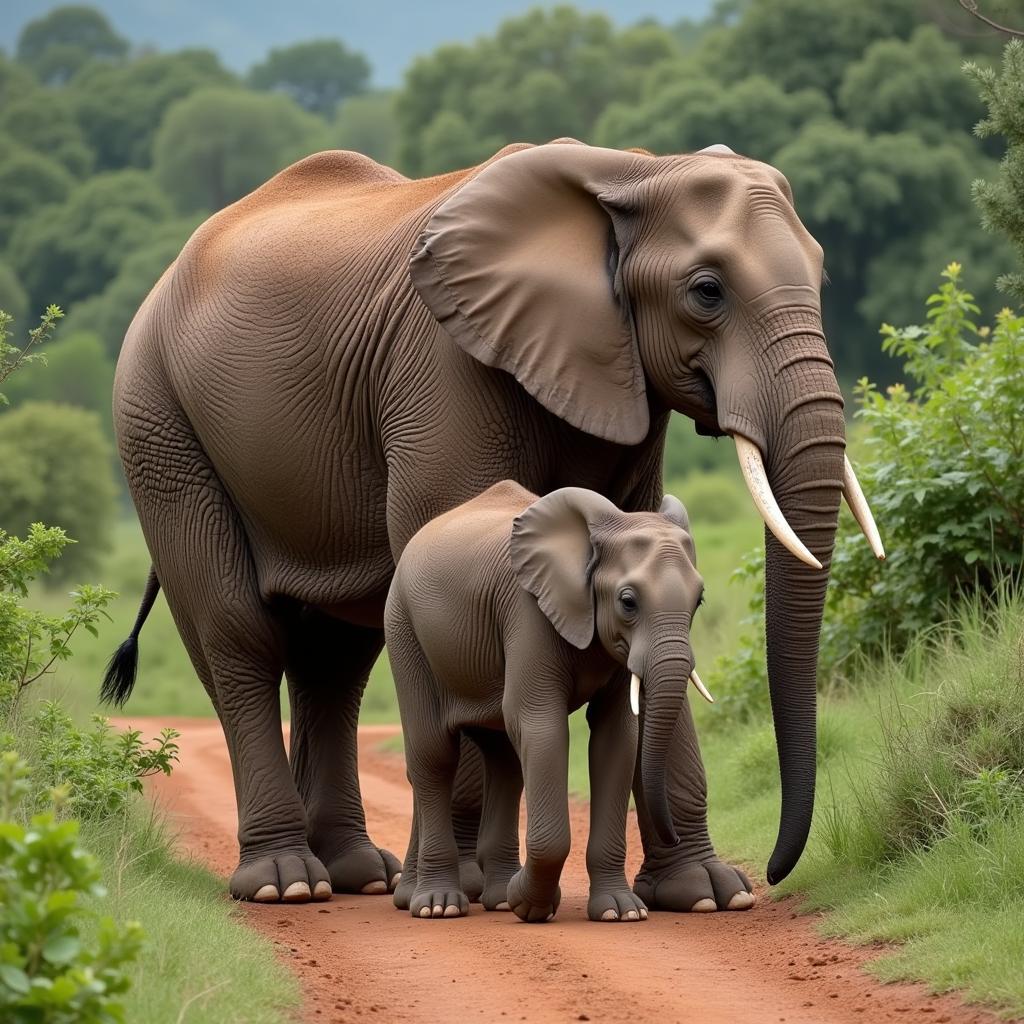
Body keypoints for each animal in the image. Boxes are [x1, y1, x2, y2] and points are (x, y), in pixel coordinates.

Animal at [385, 477, 712, 921]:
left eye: (699, 601)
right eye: (628, 601)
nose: (674, 836)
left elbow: (616, 739)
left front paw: (620, 912)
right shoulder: (526, 611)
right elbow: (540, 724)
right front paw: (533, 906)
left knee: (504, 761)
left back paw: (493, 898)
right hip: (404, 628)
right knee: (433, 754)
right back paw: (438, 906)